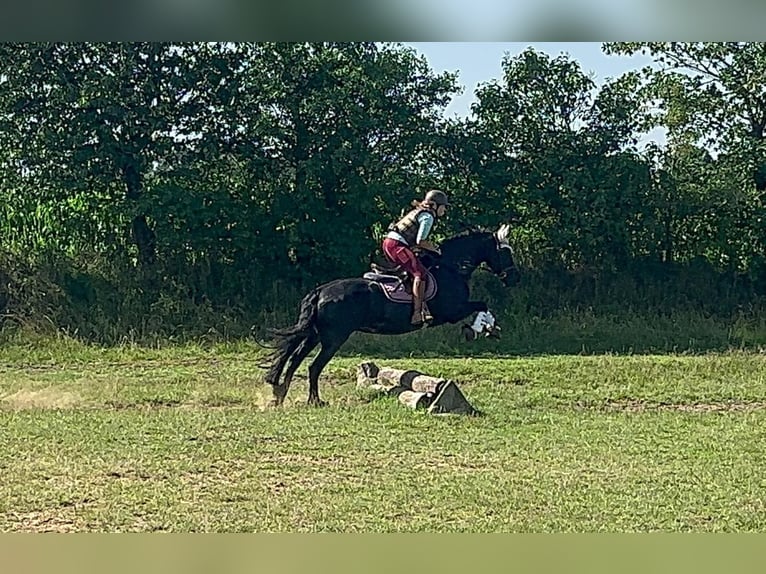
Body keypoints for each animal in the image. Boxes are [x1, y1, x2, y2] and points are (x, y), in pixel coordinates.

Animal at [261, 223, 520, 407]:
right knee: (313, 366)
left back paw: (279, 396)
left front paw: (487, 330)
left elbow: (482, 306)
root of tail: (320, 291)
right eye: (506, 252)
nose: (514, 278)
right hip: (334, 338)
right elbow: (482, 305)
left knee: (294, 360)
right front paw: (481, 330)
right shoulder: (452, 311)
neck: (450, 267)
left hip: (315, 335)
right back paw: (315, 401)